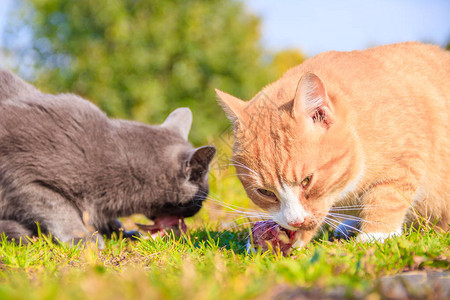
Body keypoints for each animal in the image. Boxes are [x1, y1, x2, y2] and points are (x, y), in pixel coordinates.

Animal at [0, 69, 216, 247]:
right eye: (201, 198)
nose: (198, 209)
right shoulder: (23, 176)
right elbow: (59, 207)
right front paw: (82, 237)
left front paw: (122, 232)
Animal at [216, 42, 448, 248]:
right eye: (265, 192)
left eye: (307, 181)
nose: (295, 221)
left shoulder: (406, 158)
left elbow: (387, 196)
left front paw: (376, 234)